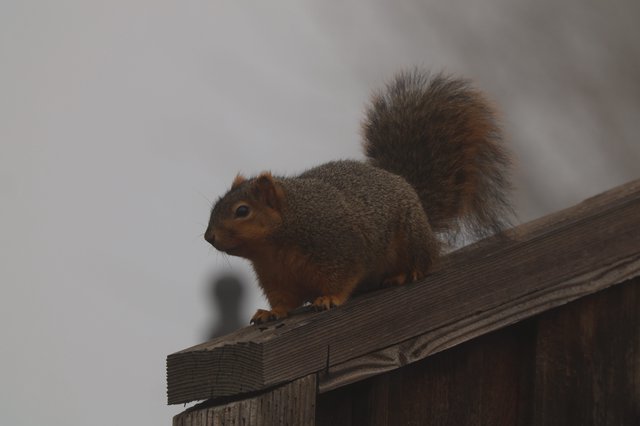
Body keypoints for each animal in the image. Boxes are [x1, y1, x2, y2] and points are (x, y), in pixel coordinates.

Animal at [205, 70, 513, 325]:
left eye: (242, 211)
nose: (209, 237)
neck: (277, 243)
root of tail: (410, 192)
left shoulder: (341, 249)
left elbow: (343, 279)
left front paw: (329, 299)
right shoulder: (275, 276)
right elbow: (284, 300)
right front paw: (271, 313)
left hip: (411, 237)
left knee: (426, 261)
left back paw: (405, 273)